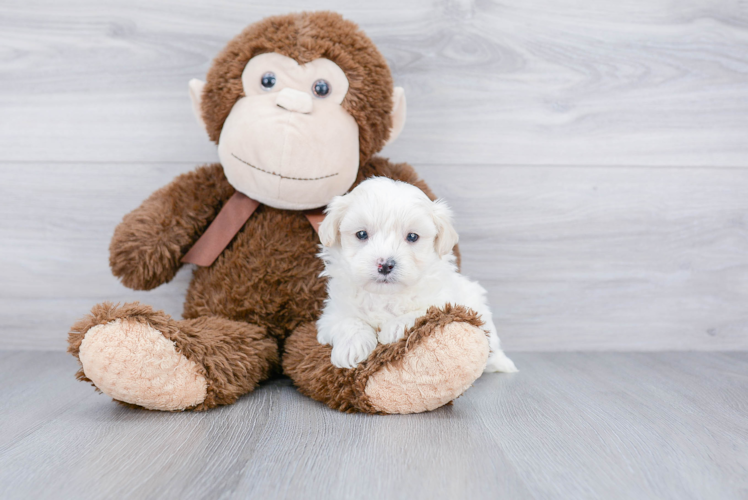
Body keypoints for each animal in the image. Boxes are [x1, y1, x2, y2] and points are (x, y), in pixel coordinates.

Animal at [314, 178, 516, 374]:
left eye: (412, 237)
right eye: (362, 234)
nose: (385, 265)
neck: (385, 296)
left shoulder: (446, 302)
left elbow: (424, 311)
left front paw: (394, 328)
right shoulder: (331, 314)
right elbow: (347, 321)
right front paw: (352, 346)